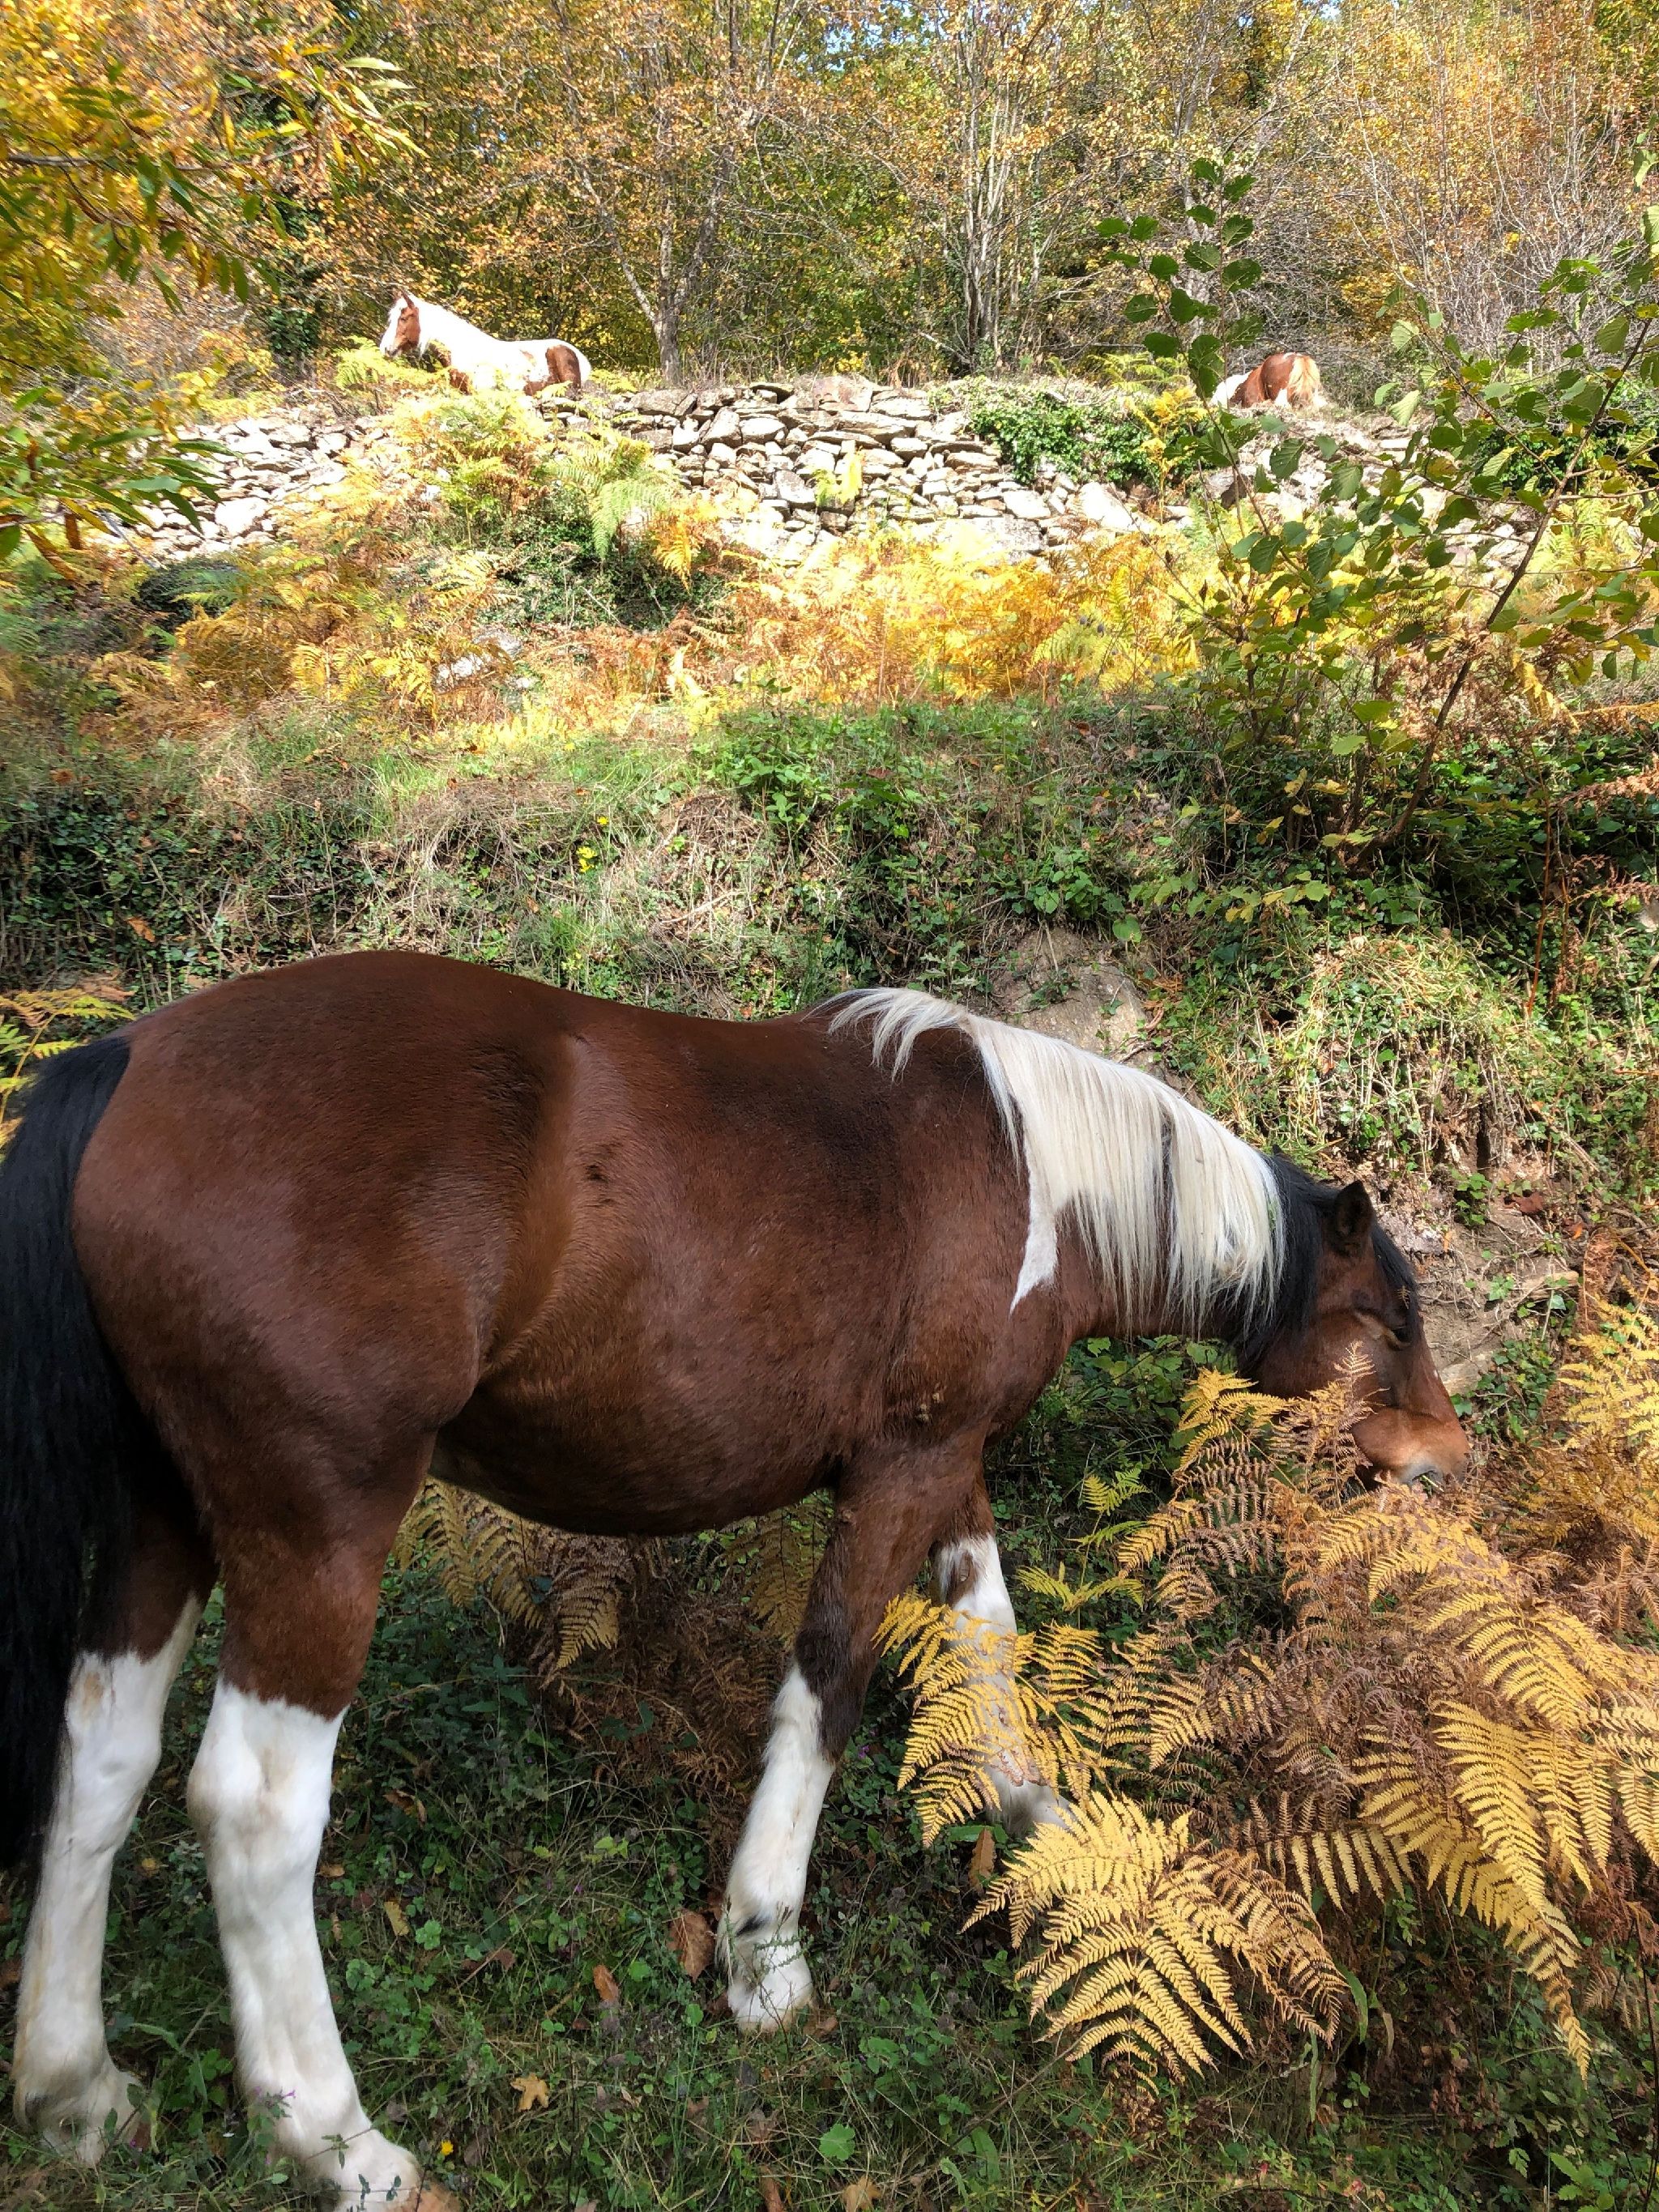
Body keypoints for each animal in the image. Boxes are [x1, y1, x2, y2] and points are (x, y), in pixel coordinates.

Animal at [0, 952, 1465, 2207]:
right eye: (1388, 1315)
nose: (1447, 1462)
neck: (1038, 1179)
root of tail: (127, 1059)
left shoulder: (946, 1467)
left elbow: (986, 1634)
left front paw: (1036, 1819)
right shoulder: (899, 1473)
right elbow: (827, 1691)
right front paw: (768, 1953)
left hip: (167, 1520)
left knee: (101, 1758)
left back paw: (75, 2086)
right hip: (314, 1534)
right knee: (254, 1812)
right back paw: (336, 2138)